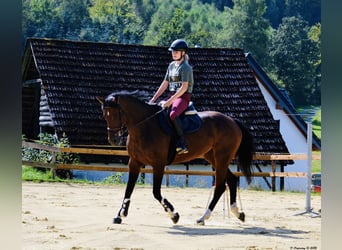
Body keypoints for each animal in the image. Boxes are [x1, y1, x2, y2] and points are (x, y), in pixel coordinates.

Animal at [96, 91, 254, 225]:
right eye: (105, 115)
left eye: (116, 114)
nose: (113, 140)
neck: (145, 126)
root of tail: (232, 120)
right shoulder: (134, 162)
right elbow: (128, 189)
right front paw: (120, 214)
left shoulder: (158, 164)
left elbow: (156, 192)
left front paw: (173, 214)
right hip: (213, 157)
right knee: (231, 180)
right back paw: (238, 213)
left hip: (222, 157)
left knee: (220, 186)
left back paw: (203, 217)